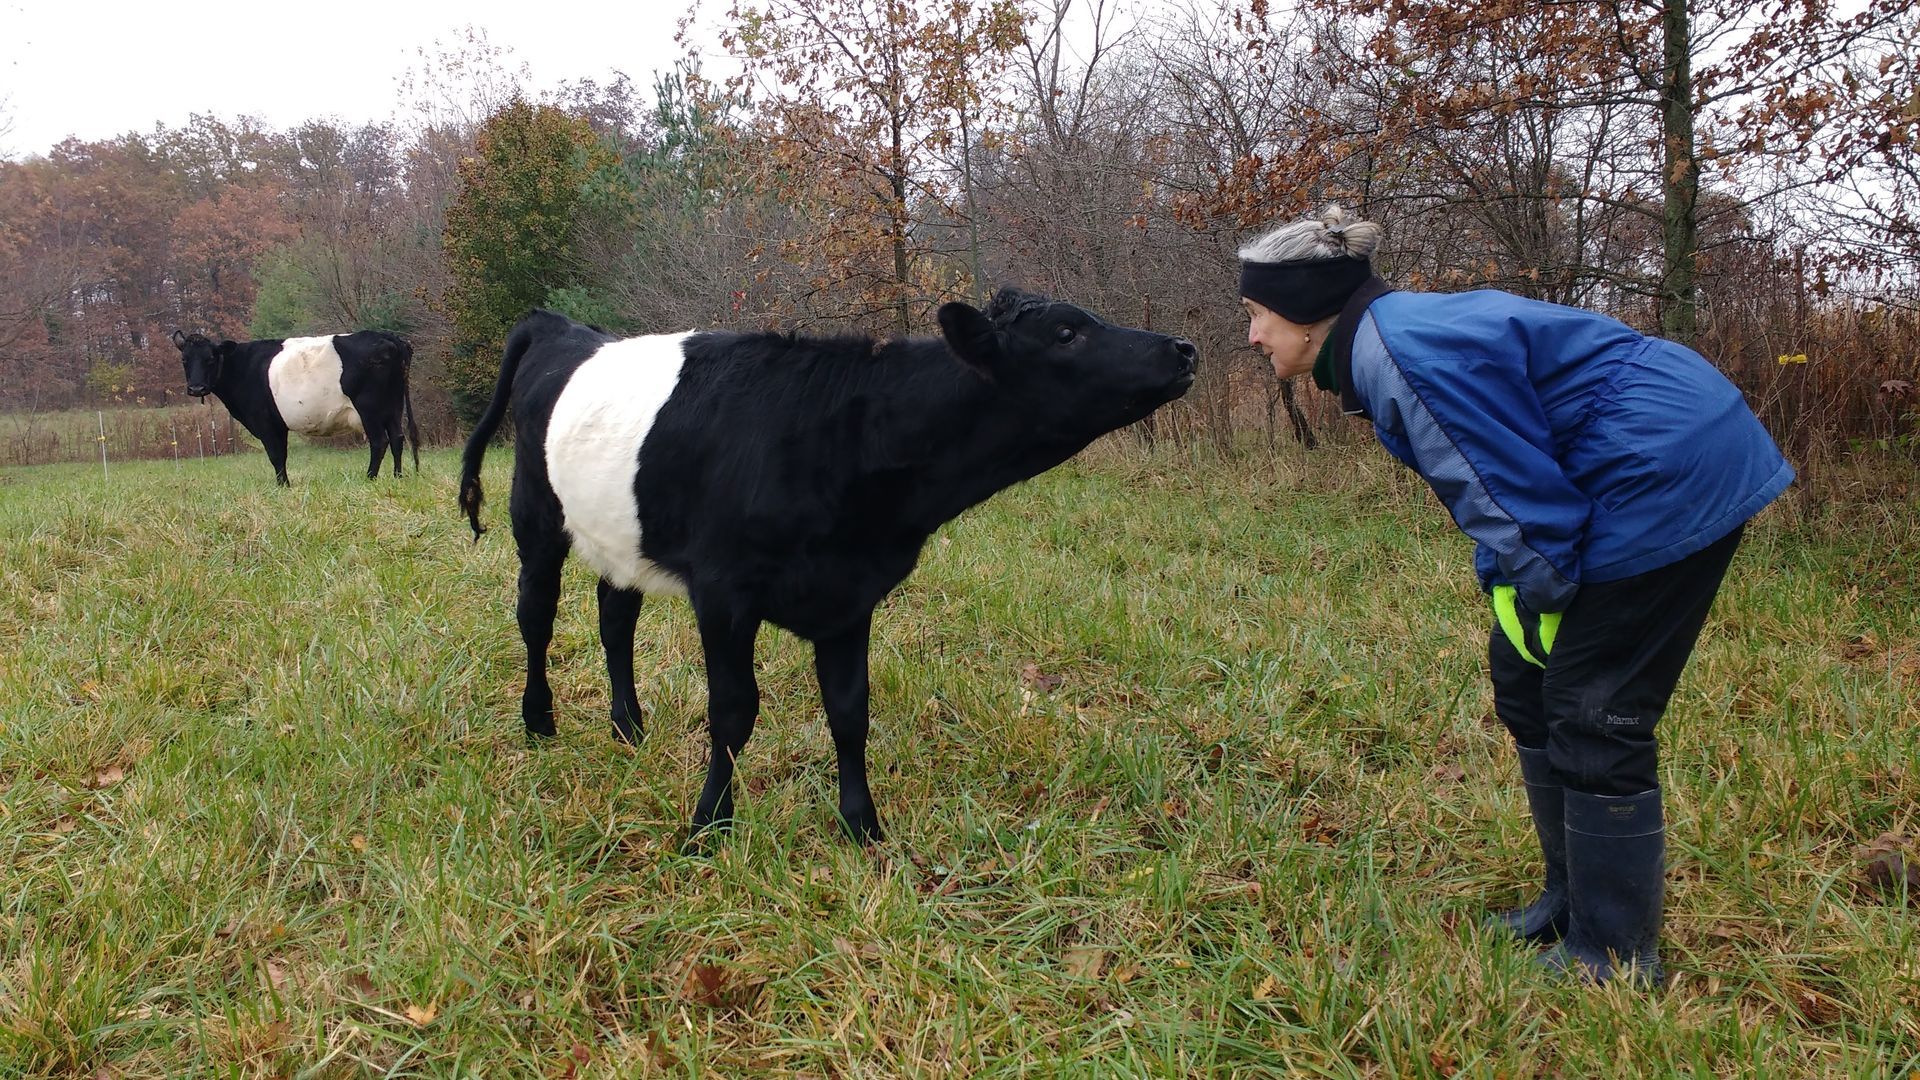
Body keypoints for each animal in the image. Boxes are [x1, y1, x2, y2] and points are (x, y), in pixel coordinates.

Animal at [171, 330, 420, 485]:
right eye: (184, 360)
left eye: (211, 359)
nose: (196, 388)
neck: (242, 367)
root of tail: (389, 337)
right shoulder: (278, 424)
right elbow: (282, 455)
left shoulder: (264, 421)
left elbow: (275, 455)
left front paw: (283, 486)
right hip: (393, 406)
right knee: (397, 437)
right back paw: (397, 477)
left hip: (369, 408)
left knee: (380, 441)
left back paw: (369, 478)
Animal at [457, 287, 1196, 846]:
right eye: (1067, 333)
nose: (1183, 348)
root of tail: (559, 326)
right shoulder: (724, 592)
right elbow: (734, 711)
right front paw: (708, 827)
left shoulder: (849, 595)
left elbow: (849, 710)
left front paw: (863, 827)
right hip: (535, 518)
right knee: (535, 616)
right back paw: (539, 722)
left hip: (620, 536)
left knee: (615, 617)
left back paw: (629, 728)